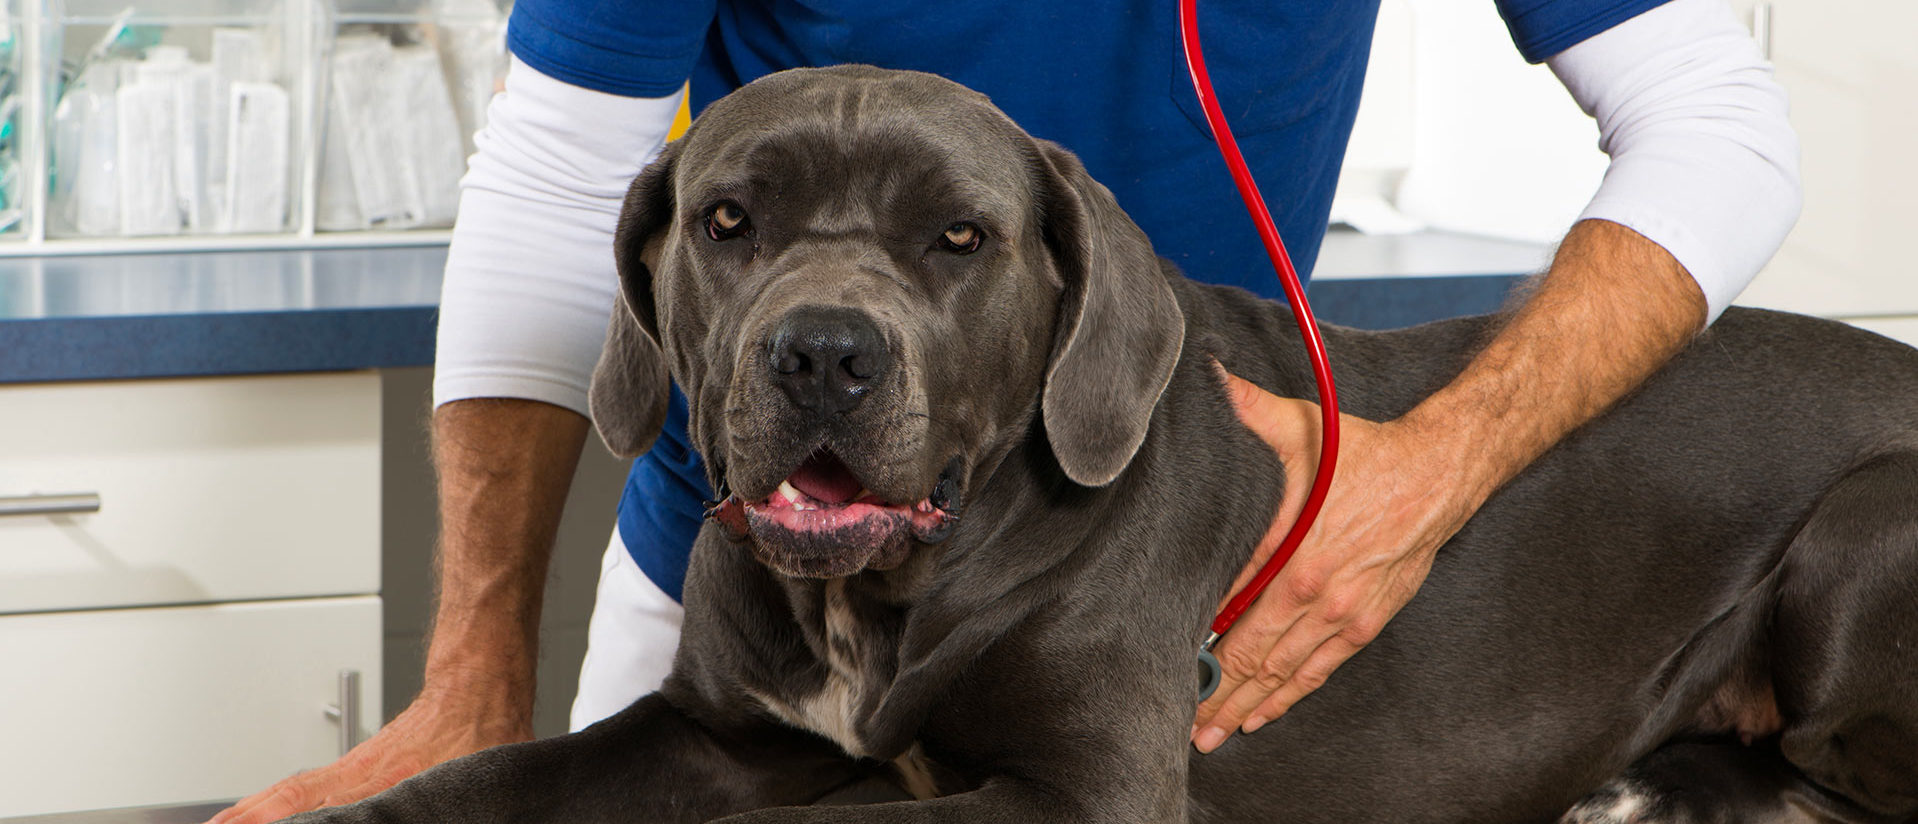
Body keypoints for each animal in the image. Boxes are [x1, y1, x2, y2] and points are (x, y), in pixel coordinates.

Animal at [283, 68, 1918, 824]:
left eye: (958, 238)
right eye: (728, 220)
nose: (821, 352)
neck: (895, 594)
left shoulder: (1086, 793)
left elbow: (842, 817)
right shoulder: (714, 728)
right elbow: (483, 776)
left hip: (1861, 531)